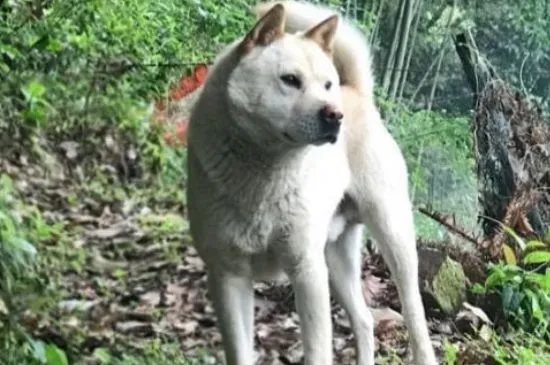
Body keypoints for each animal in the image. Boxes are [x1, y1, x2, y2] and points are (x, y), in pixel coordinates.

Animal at [188, 1, 438, 362]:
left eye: (327, 84)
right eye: (290, 80)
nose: (335, 115)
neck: (264, 175)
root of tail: (358, 94)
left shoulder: (306, 271)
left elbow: (318, 350)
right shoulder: (228, 277)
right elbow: (240, 351)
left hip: (393, 238)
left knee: (414, 315)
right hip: (335, 258)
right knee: (364, 319)